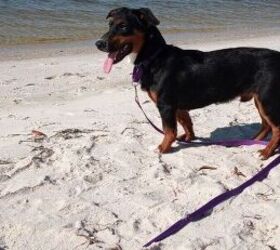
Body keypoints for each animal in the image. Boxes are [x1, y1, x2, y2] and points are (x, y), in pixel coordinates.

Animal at [95, 7, 280, 160]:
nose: (98, 44)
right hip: (261, 100)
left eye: (123, 26)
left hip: (267, 101)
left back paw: (266, 152)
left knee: (276, 129)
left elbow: (170, 130)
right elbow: (186, 123)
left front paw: (163, 148)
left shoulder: (166, 105)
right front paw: (189, 138)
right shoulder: (177, 106)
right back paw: (253, 142)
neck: (154, 56)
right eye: (110, 25)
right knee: (266, 126)